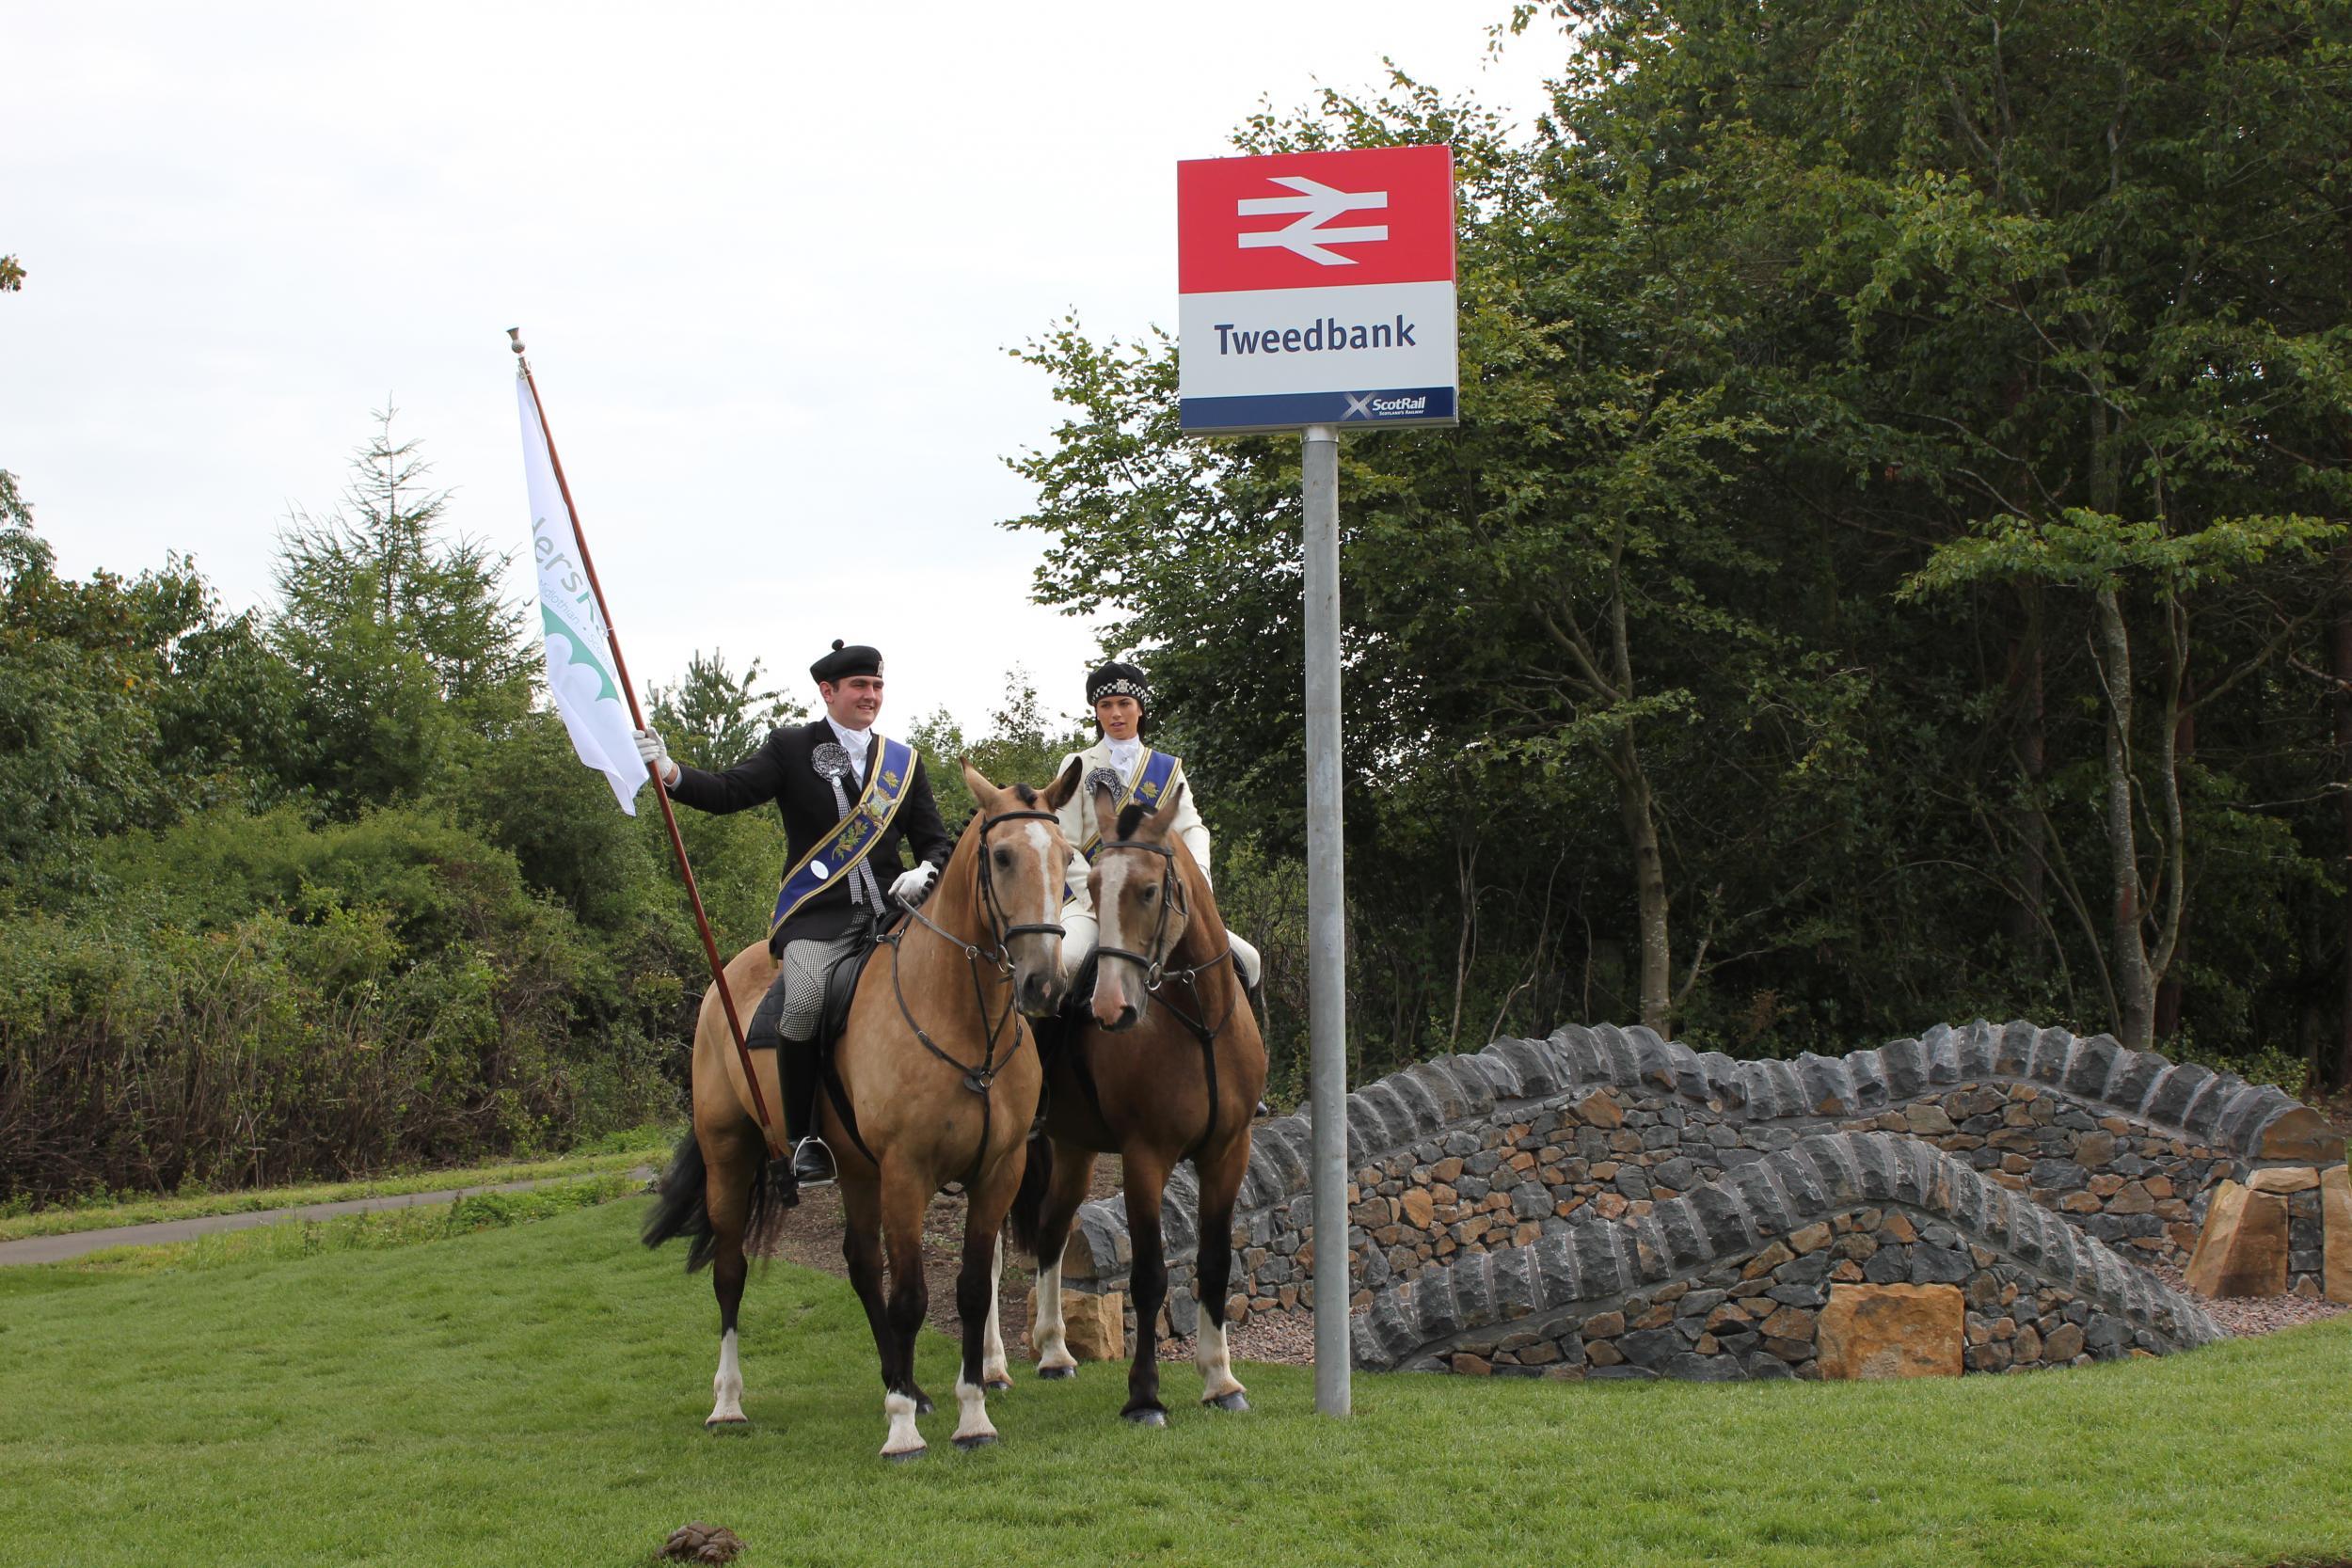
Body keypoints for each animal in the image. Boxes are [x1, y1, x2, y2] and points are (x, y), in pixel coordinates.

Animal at [644, 761, 1082, 1457]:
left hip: (854, 1168)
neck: (963, 1018)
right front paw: (902, 1429)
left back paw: (907, 1384)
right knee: (731, 1271)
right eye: (1003, 856)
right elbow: (910, 1296)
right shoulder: (906, 1172)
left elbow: (968, 1288)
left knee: (857, 1263)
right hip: (729, 1153)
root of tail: (726, 978)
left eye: (1066, 856)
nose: (1044, 984)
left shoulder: (998, 1171)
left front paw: (971, 1414)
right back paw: (729, 1403)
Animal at [1007, 780, 1270, 1429]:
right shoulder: (1144, 1157)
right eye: (1097, 887)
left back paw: (1054, 1353)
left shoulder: (1229, 1152)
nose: (1110, 1009)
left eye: (1150, 891)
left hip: (1073, 1150)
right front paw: (1145, 1397)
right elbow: (1149, 1276)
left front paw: (1221, 1381)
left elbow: (1215, 1263)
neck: (1198, 1019)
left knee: (1051, 1231)